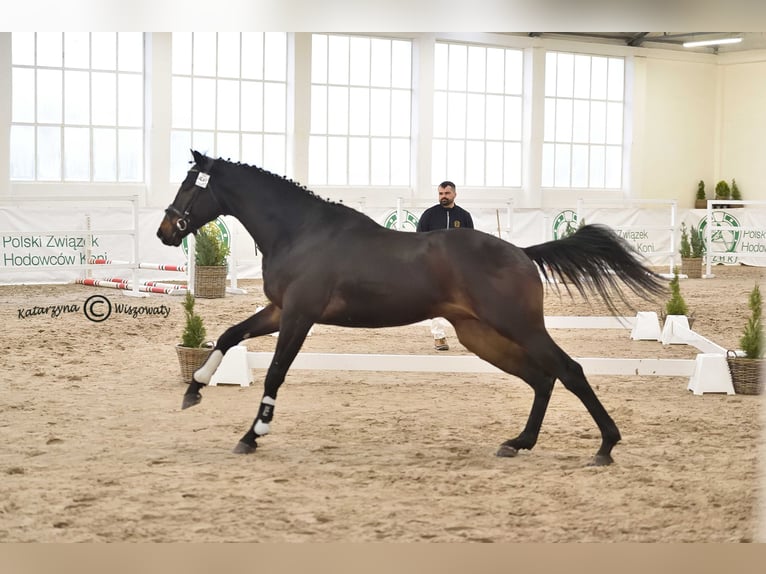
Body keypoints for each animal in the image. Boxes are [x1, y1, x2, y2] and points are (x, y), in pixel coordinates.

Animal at [157, 150, 666, 466]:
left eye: (190, 186)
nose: (165, 231)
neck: (300, 232)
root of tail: (522, 252)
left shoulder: (300, 316)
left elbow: (275, 374)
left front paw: (252, 435)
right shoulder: (280, 311)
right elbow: (228, 336)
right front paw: (194, 390)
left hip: (519, 327)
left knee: (569, 370)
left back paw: (605, 446)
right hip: (480, 336)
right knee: (542, 378)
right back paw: (519, 443)